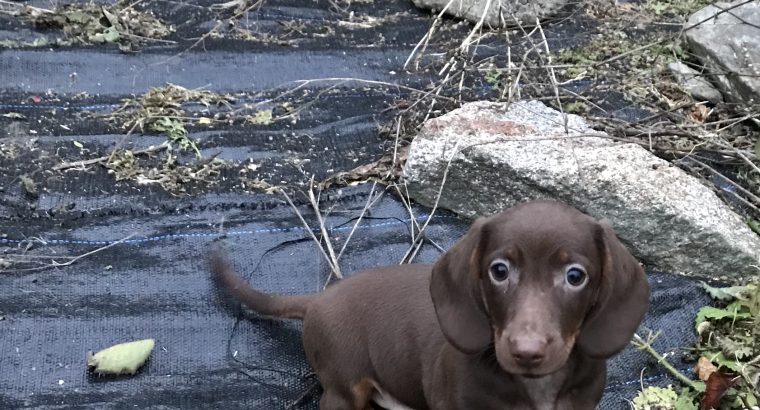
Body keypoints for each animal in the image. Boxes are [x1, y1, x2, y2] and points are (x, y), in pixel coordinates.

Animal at [211, 200, 652, 408]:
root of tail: (319, 299)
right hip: (342, 386)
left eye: (576, 276)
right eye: (499, 271)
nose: (526, 352)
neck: (535, 388)